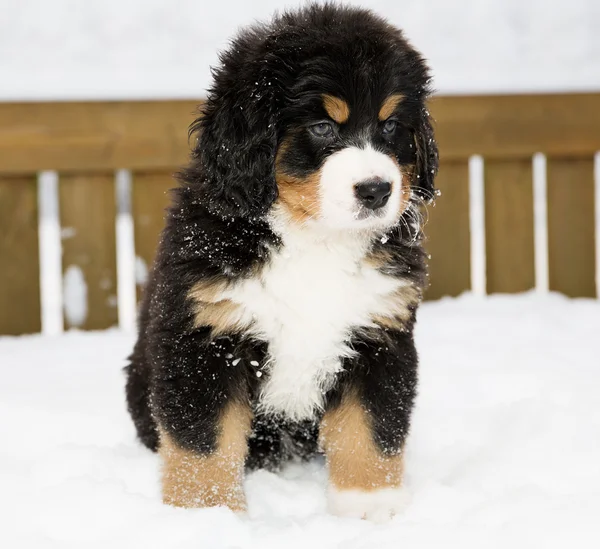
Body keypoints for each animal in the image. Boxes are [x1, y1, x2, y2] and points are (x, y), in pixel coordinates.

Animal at [125, 2, 436, 520]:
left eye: (391, 125)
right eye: (323, 127)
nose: (376, 190)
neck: (313, 238)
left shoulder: (378, 335)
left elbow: (369, 429)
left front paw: (369, 504)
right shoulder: (204, 339)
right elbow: (204, 443)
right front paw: (207, 512)